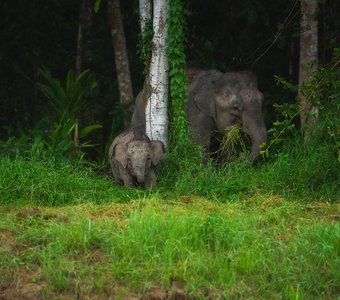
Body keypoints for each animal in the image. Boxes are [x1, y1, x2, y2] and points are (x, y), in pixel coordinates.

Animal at [131, 68, 266, 162]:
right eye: (236, 108)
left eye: (262, 102)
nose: (243, 156)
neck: (216, 83)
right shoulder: (196, 113)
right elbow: (199, 146)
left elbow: (227, 145)